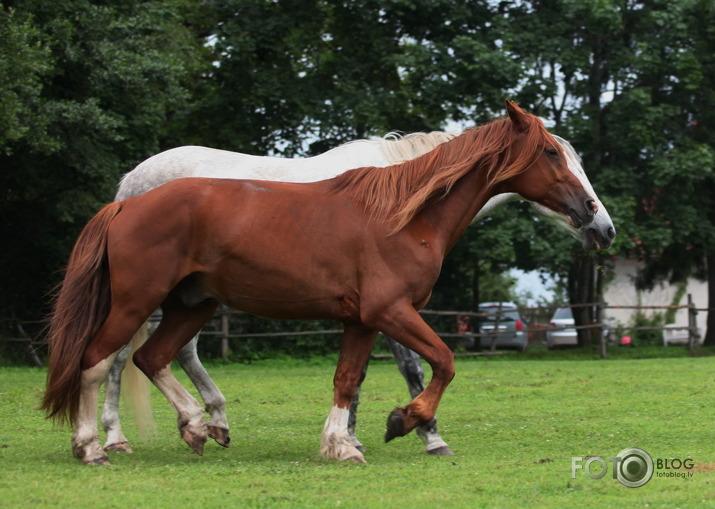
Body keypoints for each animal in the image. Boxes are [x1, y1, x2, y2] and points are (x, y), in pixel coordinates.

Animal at [43, 102, 600, 464]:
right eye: (551, 153)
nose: (597, 219)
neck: (402, 214)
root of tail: (126, 201)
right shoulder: (391, 311)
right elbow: (439, 363)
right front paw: (408, 424)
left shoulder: (363, 319)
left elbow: (348, 379)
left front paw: (342, 443)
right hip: (137, 303)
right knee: (101, 363)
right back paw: (98, 445)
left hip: (191, 305)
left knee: (154, 357)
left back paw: (201, 426)